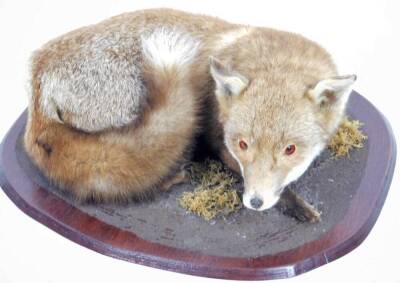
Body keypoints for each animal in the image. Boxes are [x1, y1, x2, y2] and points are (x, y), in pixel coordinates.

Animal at [25, 8, 356, 211]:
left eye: (290, 149)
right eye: (243, 144)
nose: (255, 203)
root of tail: (38, 79)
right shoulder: (216, 136)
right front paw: (298, 206)